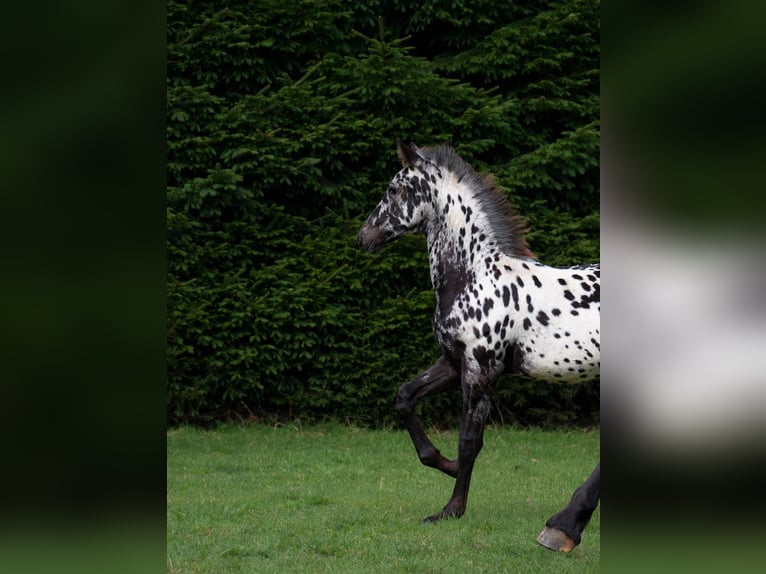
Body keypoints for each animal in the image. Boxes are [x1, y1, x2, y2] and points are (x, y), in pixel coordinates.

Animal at [357, 141, 600, 551]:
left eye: (395, 189)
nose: (364, 237)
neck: (474, 276)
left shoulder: (480, 369)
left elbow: (469, 439)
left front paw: (451, 510)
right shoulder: (453, 362)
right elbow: (405, 397)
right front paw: (445, 465)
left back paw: (562, 527)